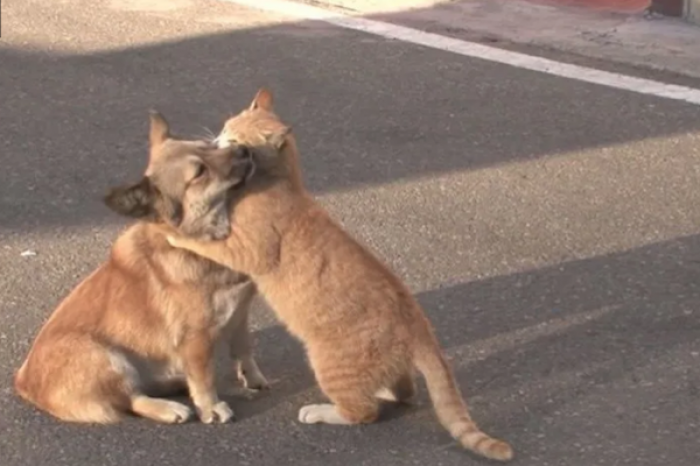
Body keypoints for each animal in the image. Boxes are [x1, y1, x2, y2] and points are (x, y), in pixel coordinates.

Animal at [15, 111, 270, 424]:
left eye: (209, 145)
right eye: (199, 173)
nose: (244, 150)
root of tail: (23, 382)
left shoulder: (240, 315)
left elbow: (244, 349)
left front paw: (253, 378)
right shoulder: (195, 339)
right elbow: (204, 378)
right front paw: (211, 407)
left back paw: (175, 383)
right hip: (106, 357)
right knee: (131, 399)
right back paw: (169, 407)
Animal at [167, 89, 512, 460]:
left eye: (233, 142)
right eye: (223, 130)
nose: (213, 141)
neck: (279, 180)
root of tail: (418, 323)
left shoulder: (244, 250)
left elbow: (204, 242)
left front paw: (174, 233)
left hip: (328, 364)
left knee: (363, 412)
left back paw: (321, 411)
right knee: (405, 391)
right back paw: (385, 391)